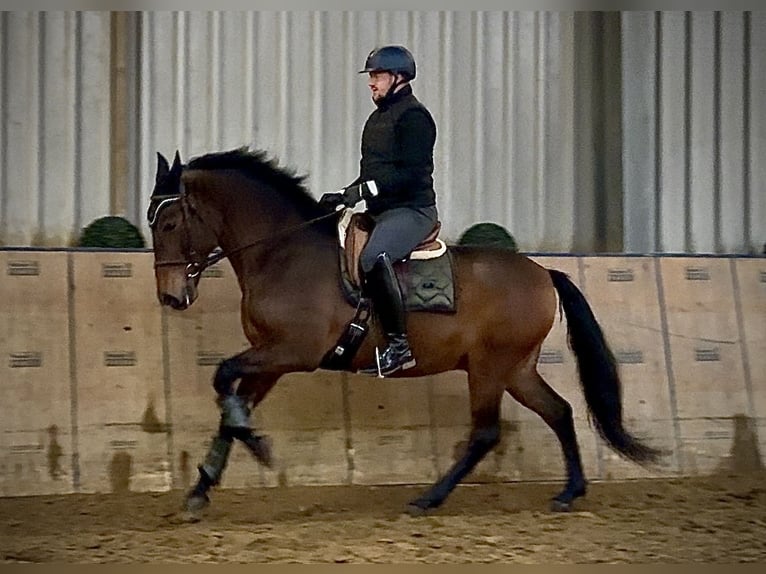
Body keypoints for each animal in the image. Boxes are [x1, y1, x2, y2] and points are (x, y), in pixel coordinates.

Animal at [147, 147, 663, 517]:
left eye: (170, 222)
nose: (171, 297)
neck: (282, 253)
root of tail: (543, 273)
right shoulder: (269, 356)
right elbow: (231, 407)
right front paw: (202, 489)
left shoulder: (292, 351)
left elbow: (222, 377)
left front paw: (257, 447)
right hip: (515, 369)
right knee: (558, 411)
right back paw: (569, 493)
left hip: (490, 368)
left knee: (486, 433)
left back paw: (428, 499)